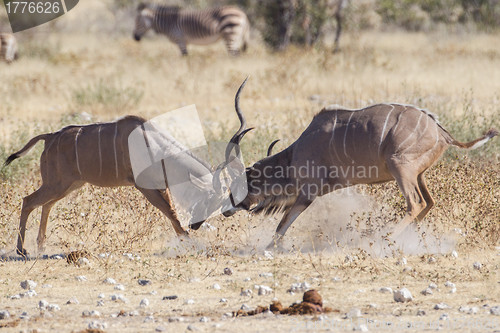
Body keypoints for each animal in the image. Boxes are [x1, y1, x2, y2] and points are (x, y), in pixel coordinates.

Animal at [4, 115, 215, 255]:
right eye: (210, 199)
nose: (196, 225)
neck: (156, 146)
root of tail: (49, 137)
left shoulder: (161, 186)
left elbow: (171, 211)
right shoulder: (145, 187)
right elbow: (169, 211)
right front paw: (190, 242)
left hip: (68, 185)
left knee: (46, 205)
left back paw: (40, 246)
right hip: (56, 184)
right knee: (28, 201)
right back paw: (21, 249)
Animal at [223, 79, 500, 248]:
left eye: (239, 184)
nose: (227, 209)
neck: (293, 157)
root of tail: (441, 132)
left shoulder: (307, 194)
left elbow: (282, 225)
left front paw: (267, 248)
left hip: (401, 168)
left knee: (416, 203)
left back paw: (383, 238)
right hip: (418, 175)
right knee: (429, 203)